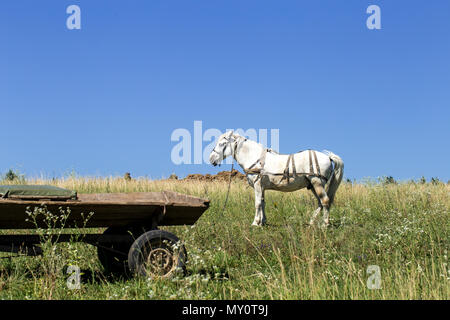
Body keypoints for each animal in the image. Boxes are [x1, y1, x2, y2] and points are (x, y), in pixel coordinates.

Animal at [209, 131, 342, 228]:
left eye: (222, 144)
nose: (211, 159)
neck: (255, 158)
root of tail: (328, 157)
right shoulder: (262, 187)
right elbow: (263, 203)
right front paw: (262, 222)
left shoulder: (257, 185)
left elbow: (257, 203)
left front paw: (255, 223)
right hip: (312, 185)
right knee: (320, 203)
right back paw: (311, 222)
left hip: (317, 182)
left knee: (325, 201)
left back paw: (325, 224)